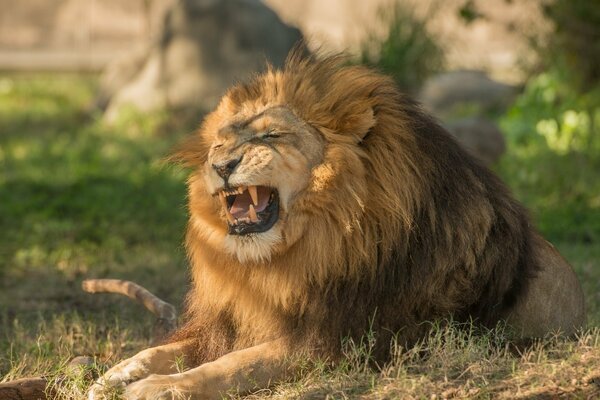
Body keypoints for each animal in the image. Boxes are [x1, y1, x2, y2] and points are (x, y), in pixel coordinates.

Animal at [86, 54, 584, 400]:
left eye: (271, 136)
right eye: (220, 143)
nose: (221, 165)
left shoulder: (335, 339)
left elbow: (233, 366)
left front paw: (157, 387)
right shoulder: (234, 321)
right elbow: (167, 350)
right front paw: (114, 374)